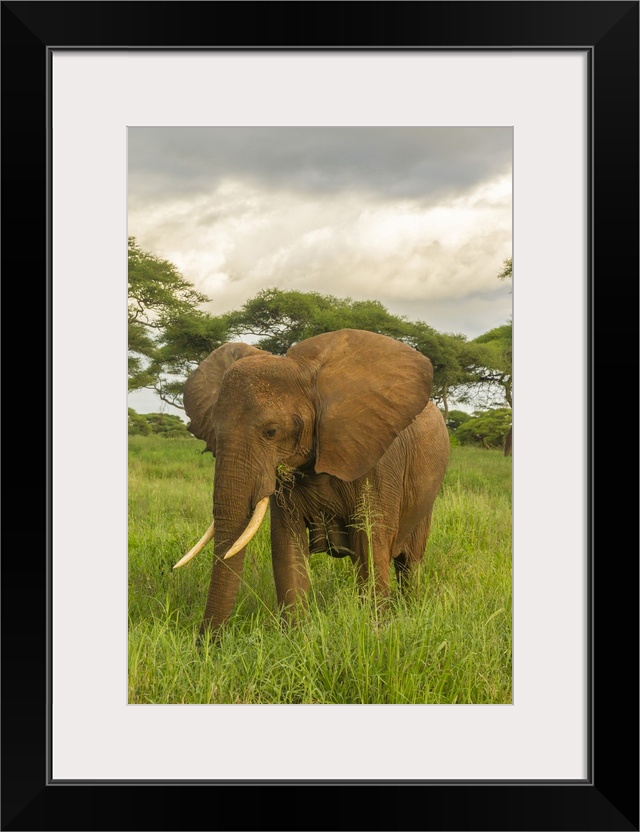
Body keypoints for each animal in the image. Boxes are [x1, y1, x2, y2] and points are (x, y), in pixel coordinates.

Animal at [174, 328, 450, 632]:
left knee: (409, 562)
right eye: (214, 431)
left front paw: (376, 631)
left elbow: (371, 544)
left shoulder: (379, 462)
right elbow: (286, 546)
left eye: (271, 431)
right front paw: (297, 635)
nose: (207, 642)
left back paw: (410, 608)